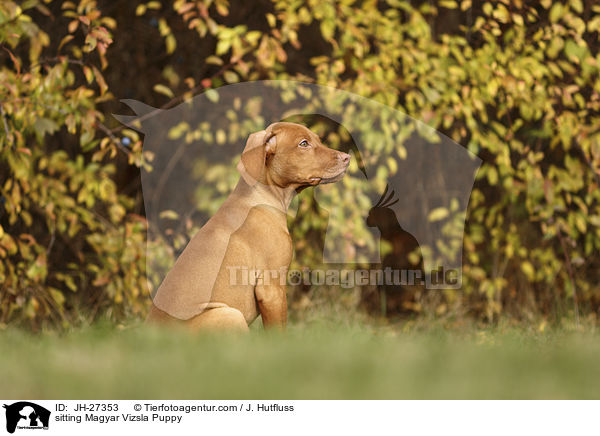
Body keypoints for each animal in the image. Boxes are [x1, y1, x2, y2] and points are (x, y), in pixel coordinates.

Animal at [147, 122, 350, 330]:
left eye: (318, 139)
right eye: (303, 143)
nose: (346, 157)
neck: (259, 197)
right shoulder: (271, 288)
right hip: (231, 314)